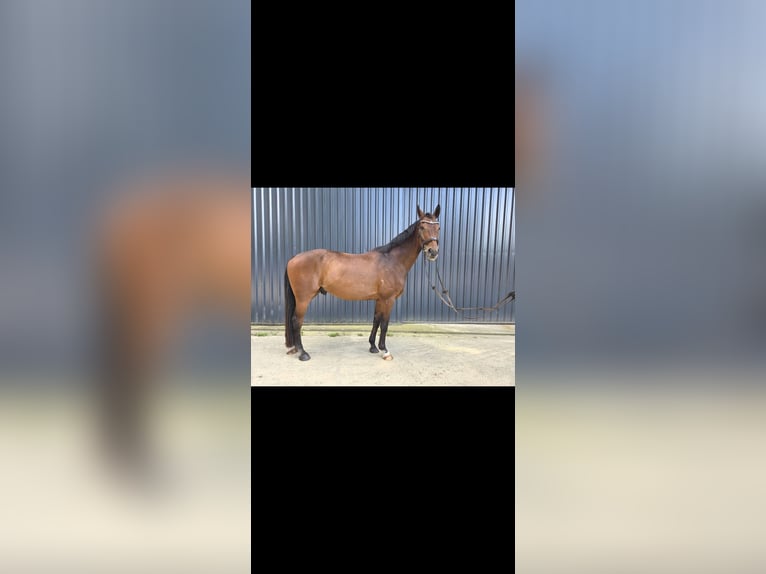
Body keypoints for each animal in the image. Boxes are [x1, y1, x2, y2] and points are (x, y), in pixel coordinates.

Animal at [284, 204, 441, 362]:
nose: (432, 252)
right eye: (422, 227)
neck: (392, 260)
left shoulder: (379, 299)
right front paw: (385, 351)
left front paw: (373, 346)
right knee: (296, 321)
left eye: (438, 227)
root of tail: (293, 259)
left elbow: (376, 320)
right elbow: (385, 324)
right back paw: (303, 353)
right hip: (303, 299)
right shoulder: (388, 299)